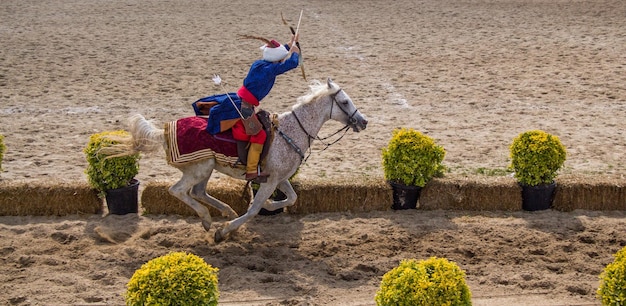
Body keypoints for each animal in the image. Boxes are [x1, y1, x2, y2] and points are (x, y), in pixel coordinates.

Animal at [119, 79, 364, 244]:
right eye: (344, 102)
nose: (364, 121)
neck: (291, 130)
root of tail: (165, 132)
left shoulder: (279, 178)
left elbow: (292, 198)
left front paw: (268, 205)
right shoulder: (270, 181)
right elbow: (254, 209)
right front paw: (224, 231)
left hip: (207, 169)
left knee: (198, 192)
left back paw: (226, 212)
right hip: (199, 169)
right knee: (178, 191)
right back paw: (208, 219)